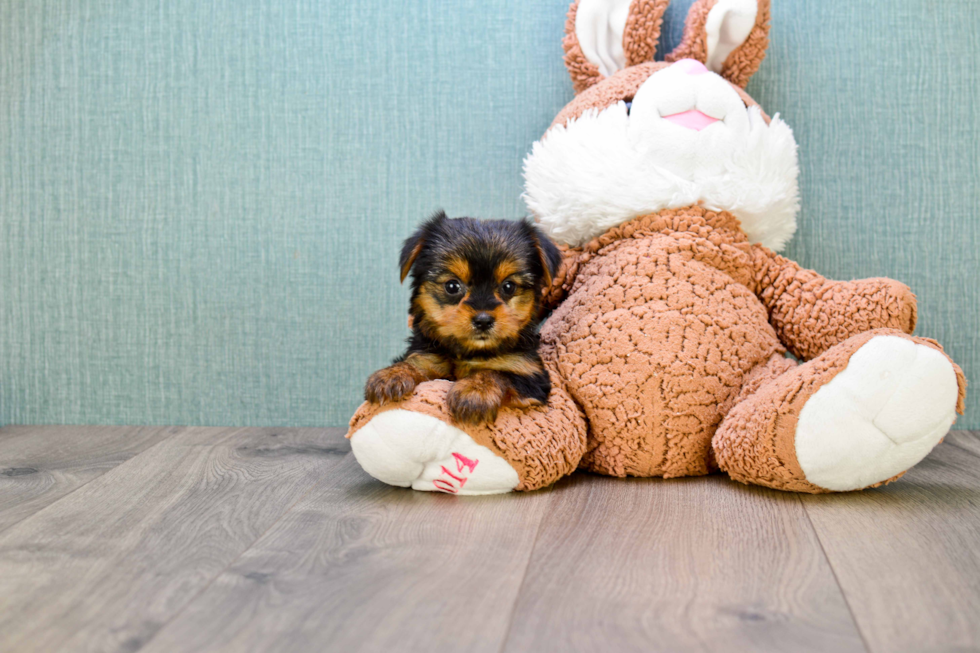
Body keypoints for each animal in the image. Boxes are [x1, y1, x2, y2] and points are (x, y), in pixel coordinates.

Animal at [366, 209, 568, 422]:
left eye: (509, 286)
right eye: (452, 286)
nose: (483, 320)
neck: (471, 352)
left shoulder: (530, 374)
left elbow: (497, 372)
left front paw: (475, 391)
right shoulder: (427, 356)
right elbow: (416, 363)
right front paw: (392, 374)